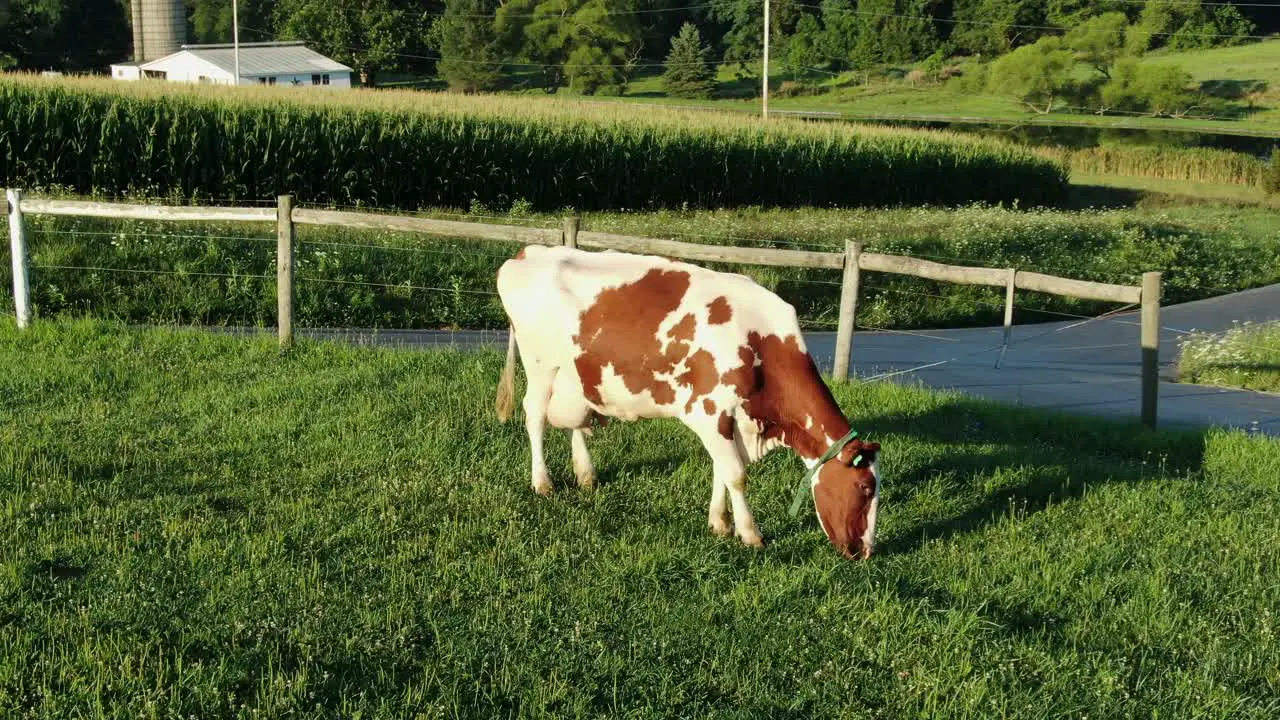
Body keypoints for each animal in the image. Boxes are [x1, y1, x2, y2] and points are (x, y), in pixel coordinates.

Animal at [491, 243, 880, 558]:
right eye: (865, 487)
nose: (865, 552)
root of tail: (527, 252)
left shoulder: (728, 418)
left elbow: (722, 469)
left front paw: (719, 523)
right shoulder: (707, 411)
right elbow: (736, 474)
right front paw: (750, 533)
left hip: (577, 376)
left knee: (575, 421)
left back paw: (585, 474)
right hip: (540, 365)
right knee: (535, 417)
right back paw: (542, 482)